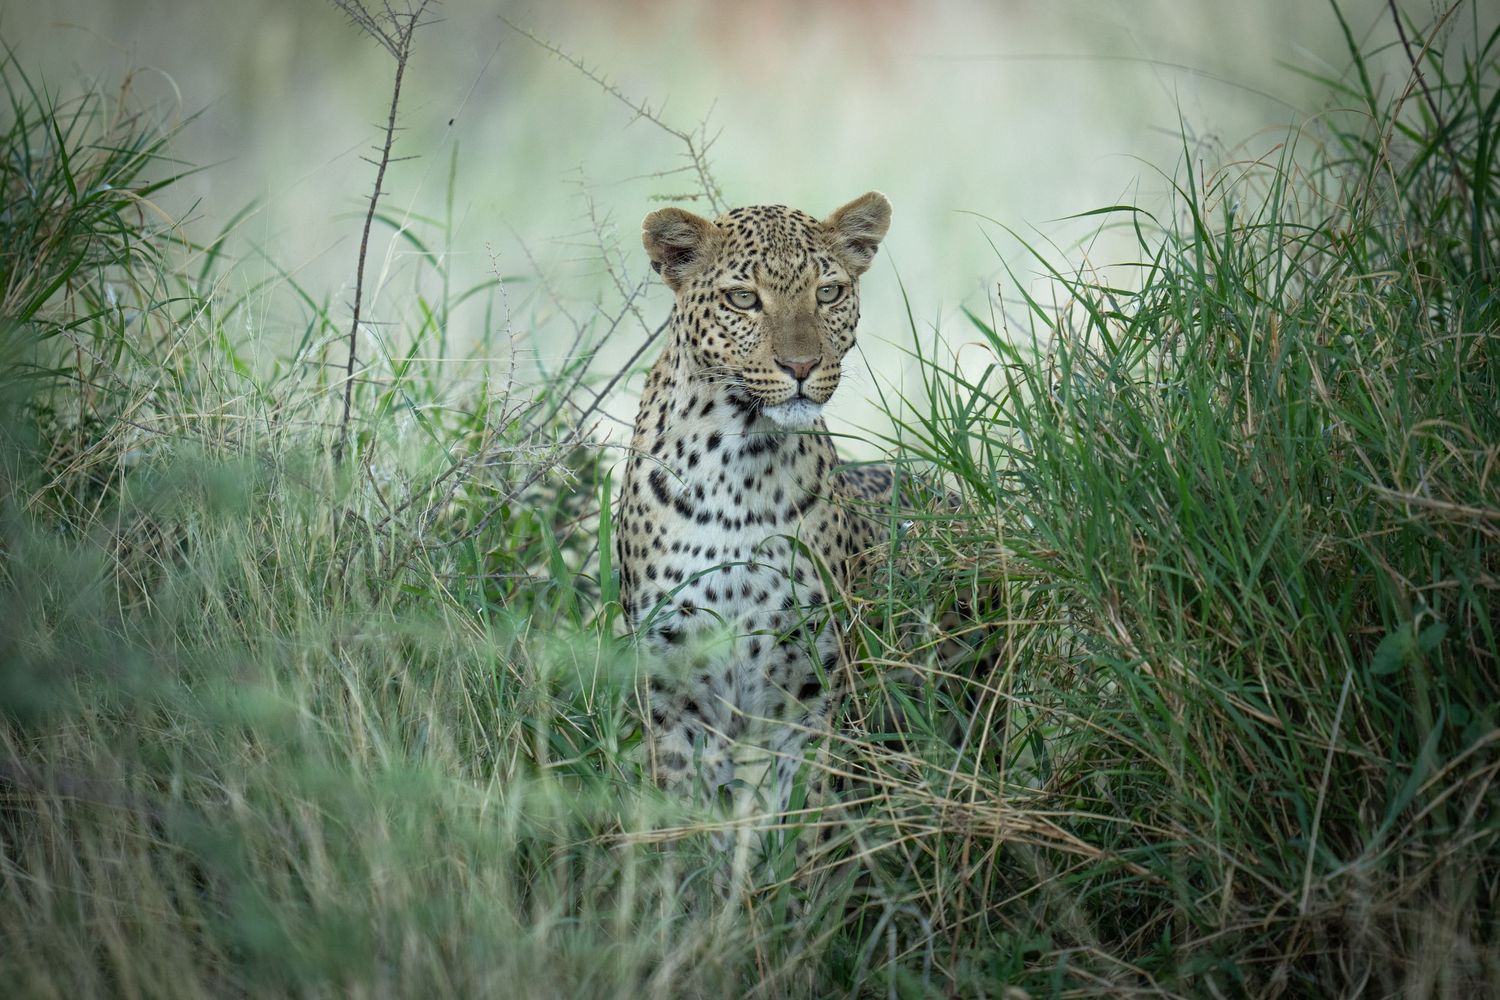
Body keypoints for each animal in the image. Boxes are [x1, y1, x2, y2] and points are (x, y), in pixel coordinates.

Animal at [615, 191, 897, 873]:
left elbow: (806, 817)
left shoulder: (814, 689)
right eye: (744, 299)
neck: (742, 459)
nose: (801, 366)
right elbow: (690, 822)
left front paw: (793, 888)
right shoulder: (675, 692)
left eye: (828, 292)